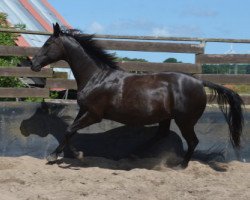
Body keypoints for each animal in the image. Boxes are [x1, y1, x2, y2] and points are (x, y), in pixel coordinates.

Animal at [30, 22, 243, 168]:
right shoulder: (84, 110)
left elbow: (69, 131)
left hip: (185, 120)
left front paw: (72, 155)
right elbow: (70, 131)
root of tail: (200, 82)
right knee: (161, 135)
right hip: (166, 118)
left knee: (192, 141)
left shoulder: (94, 114)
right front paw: (59, 154)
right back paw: (133, 155)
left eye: (48, 43)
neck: (96, 77)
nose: (33, 64)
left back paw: (180, 165)